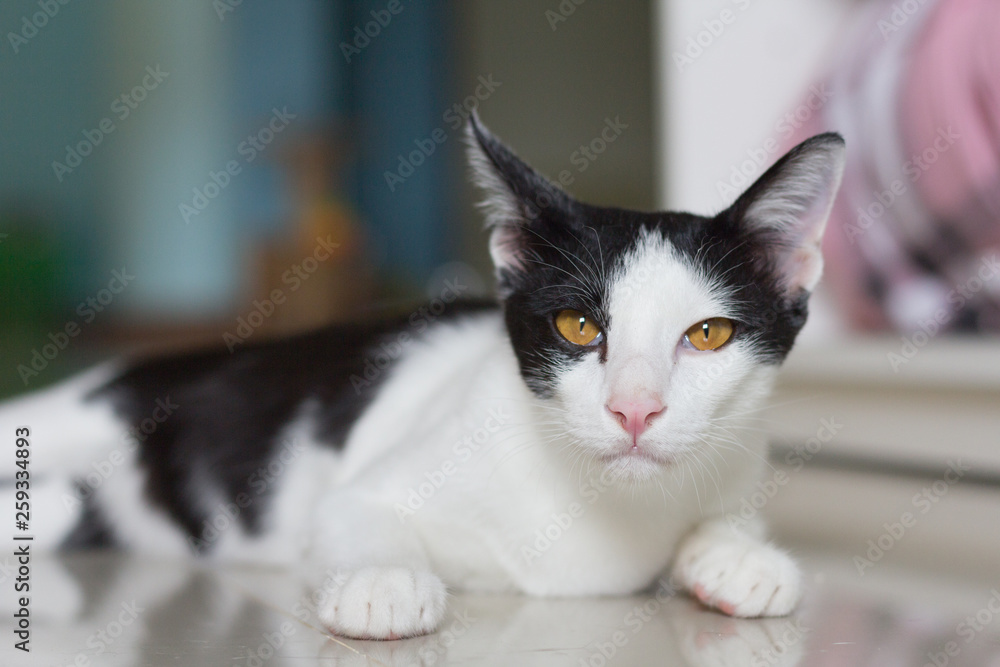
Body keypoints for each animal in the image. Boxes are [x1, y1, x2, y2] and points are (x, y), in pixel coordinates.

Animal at [0, 116, 844, 640]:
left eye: (707, 335)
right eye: (579, 327)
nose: (634, 411)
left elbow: (727, 519)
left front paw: (736, 555)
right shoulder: (362, 484)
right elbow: (360, 513)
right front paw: (385, 580)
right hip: (77, 415)